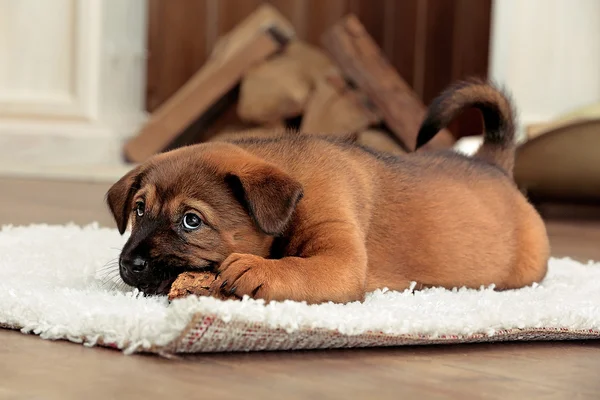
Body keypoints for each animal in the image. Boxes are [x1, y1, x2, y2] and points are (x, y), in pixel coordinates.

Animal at [106, 79, 548, 304]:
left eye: (191, 220)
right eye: (139, 209)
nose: (130, 265)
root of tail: (492, 162)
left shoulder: (341, 261)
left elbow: (297, 267)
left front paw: (257, 268)